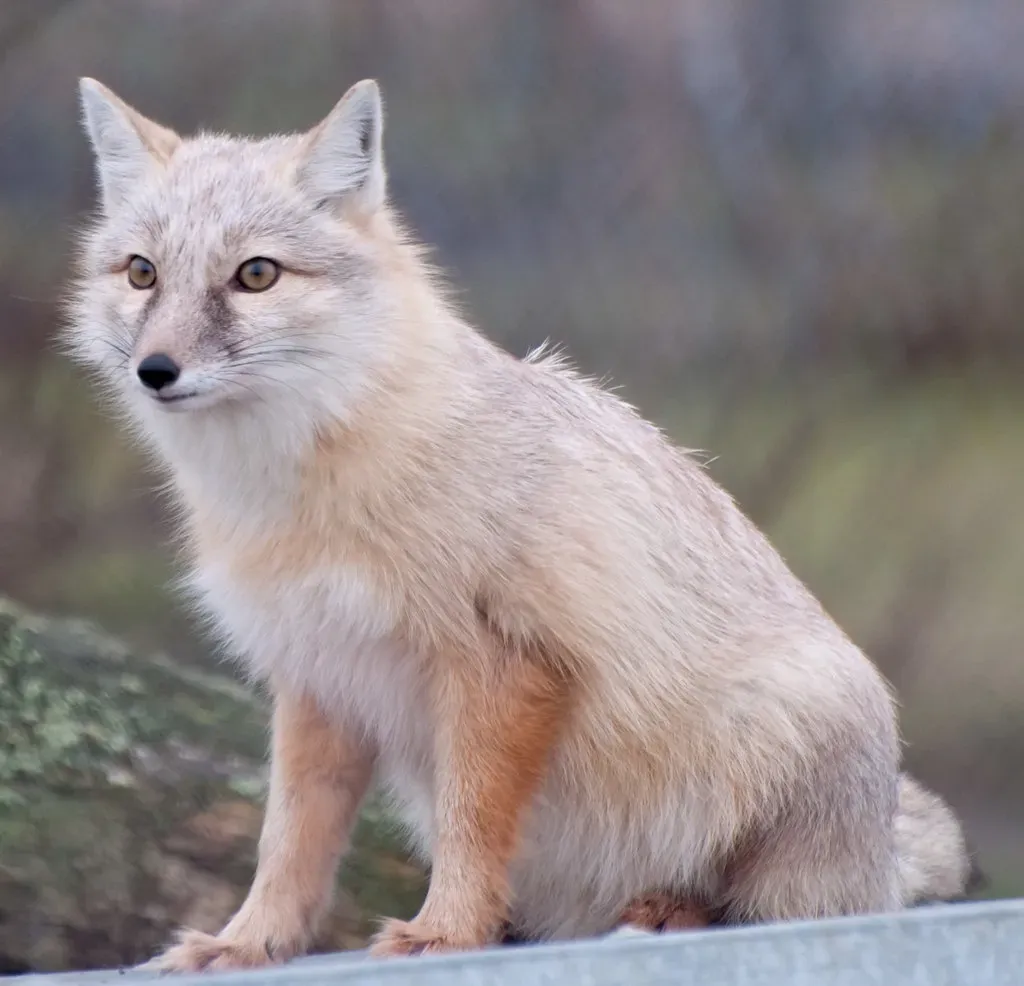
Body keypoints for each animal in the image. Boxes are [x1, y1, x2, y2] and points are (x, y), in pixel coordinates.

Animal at [67, 77, 974, 970]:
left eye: (255, 275)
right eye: (142, 273)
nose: (156, 370)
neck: (303, 493)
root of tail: (879, 852)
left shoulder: (502, 661)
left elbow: (472, 824)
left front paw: (445, 931)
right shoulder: (319, 675)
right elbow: (288, 838)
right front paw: (249, 941)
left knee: (762, 909)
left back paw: (668, 911)